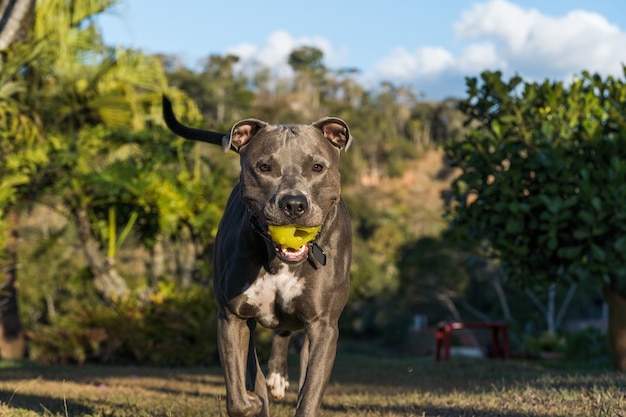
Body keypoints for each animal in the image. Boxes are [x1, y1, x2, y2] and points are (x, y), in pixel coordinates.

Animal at [161, 96, 352, 414]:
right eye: (264, 167)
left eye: (317, 167)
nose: (294, 204)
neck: (279, 261)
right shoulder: (233, 317)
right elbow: (241, 391)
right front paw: (254, 401)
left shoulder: (323, 326)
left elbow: (309, 394)